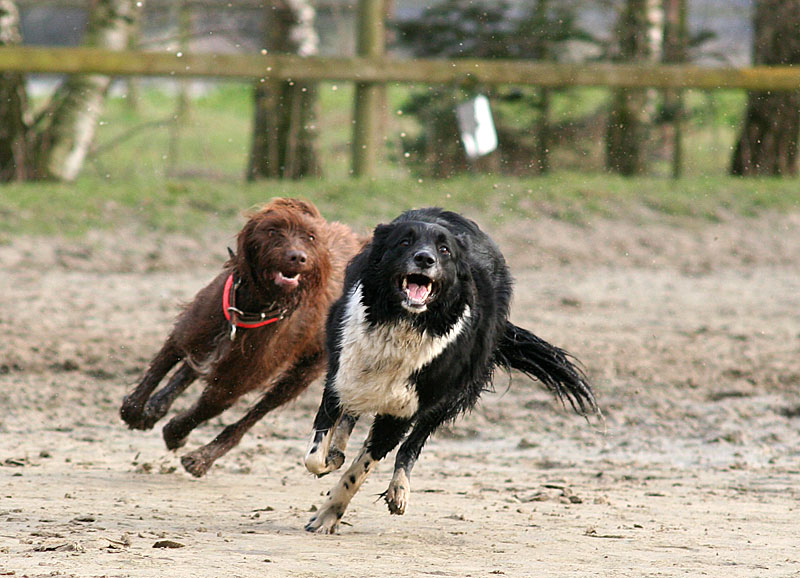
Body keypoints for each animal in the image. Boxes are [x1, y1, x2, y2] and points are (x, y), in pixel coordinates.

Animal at [119, 196, 362, 474]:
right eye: (273, 231)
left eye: (310, 237)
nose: (298, 257)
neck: (251, 305)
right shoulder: (191, 332)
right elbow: (161, 366)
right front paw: (136, 409)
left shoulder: (237, 379)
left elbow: (206, 408)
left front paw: (176, 432)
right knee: (191, 370)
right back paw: (157, 407)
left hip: (303, 373)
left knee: (252, 415)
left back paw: (202, 456)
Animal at [304, 206, 596, 532]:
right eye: (404, 242)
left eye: (444, 250)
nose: (425, 259)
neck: (403, 324)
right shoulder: (339, 376)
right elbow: (316, 454)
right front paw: (331, 459)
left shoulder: (403, 412)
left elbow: (360, 469)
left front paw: (328, 514)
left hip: (454, 394)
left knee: (413, 444)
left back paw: (398, 490)